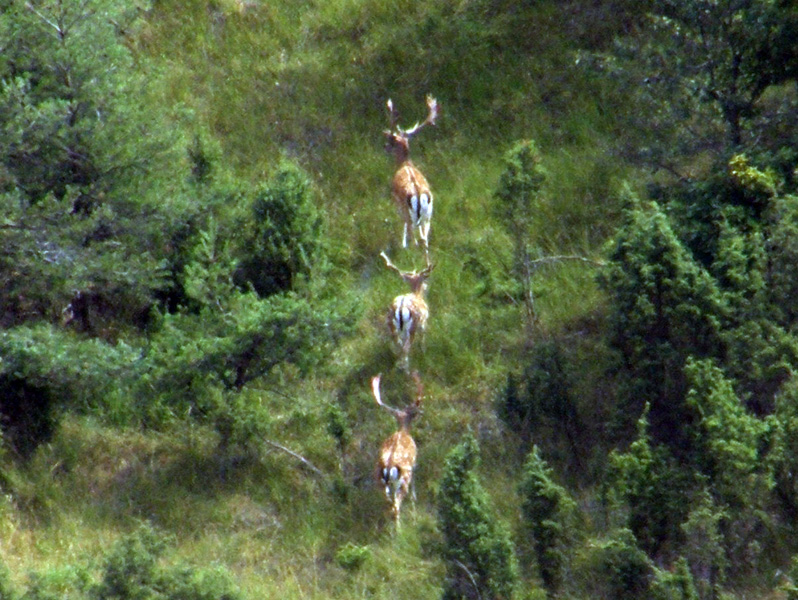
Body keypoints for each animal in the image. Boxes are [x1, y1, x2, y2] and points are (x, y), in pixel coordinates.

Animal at [374, 372, 424, 524]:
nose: (421, 413)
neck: (403, 431)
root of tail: (389, 467)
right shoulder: (414, 463)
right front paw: (415, 497)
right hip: (402, 480)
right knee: (395, 505)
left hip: (379, 482)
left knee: (388, 504)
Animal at [386, 94, 440, 255]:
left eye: (391, 142)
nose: (385, 147)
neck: (405, 164)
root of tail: (418, 194)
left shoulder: (398, 207)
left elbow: (403, 229)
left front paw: (402, 245)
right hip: (428, 215)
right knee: (424, 240)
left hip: (409, 213)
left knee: (415, 239)